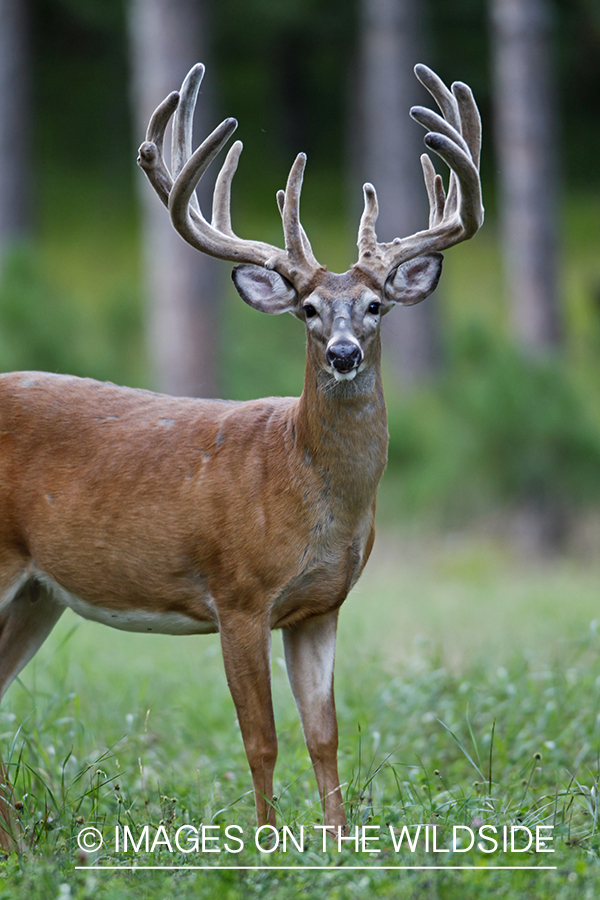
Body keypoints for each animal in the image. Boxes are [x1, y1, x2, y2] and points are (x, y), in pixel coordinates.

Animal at [0, 61, 480, 836]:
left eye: (375, 306)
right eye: (308, 309)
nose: (343, 354)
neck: (304, 486)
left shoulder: (320, 606)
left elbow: (324, 734)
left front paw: (337, 843)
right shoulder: (239, 592)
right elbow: (261, 738)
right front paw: (264, 842)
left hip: (40, 593)